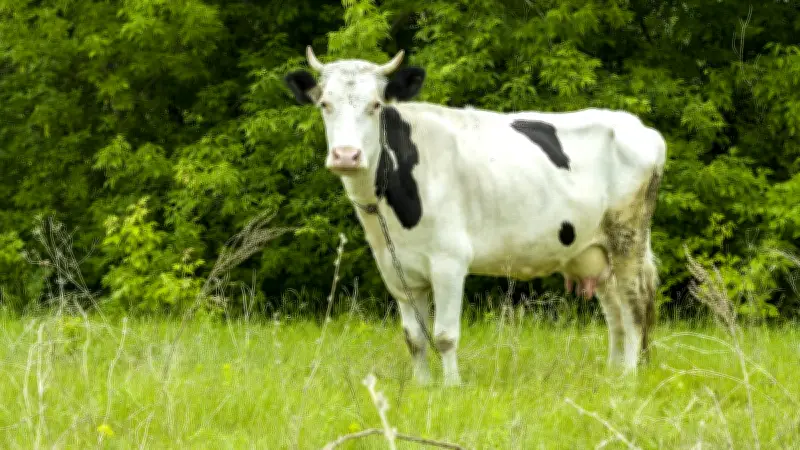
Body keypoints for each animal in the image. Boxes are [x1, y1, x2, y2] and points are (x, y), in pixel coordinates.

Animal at [284, 47, 666, 386]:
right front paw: (422, 385)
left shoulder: (449, 261)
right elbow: (414, 338)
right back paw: (612, 374)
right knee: (615, 313)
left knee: (633, 306)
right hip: (594, 250)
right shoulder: (396, 270)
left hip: (627, 237)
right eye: (324, 104)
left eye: (375, 105)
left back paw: (628, 377)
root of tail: (639, 127)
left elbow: (444, 335)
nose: (346, 155)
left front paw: (452, 388)